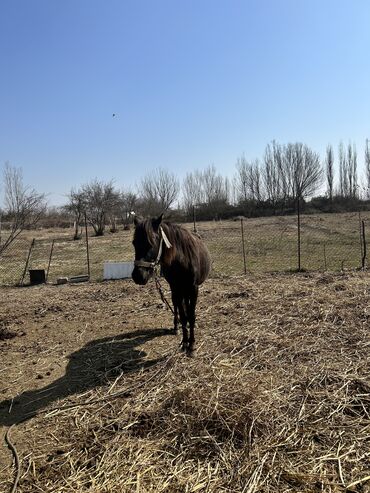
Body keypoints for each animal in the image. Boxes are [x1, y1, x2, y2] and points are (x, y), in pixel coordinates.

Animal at [132, 213, 210, 352]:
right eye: (134, 243)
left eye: (151, 243)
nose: (138, 276)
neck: (182, 260)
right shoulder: (176, 287)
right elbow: (183, 316)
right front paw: (185, 342)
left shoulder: (193, 288)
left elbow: (191, 315)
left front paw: (192, 344)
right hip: (176, 290)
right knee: (176, 305)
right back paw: (176, 327)